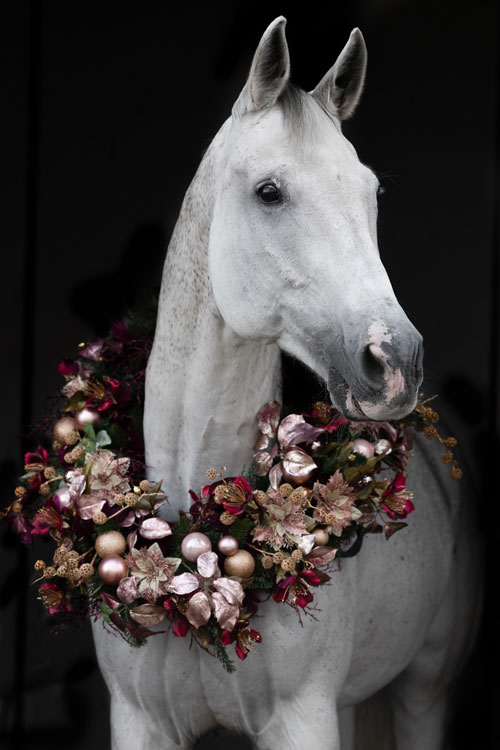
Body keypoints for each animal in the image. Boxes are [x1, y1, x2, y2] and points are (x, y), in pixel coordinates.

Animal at [93, 17, 480, 750]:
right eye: (269, 192)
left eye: (371, 193)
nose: (396, 361)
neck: (200, 551)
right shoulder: (138, 720)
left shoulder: (302, 717)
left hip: (423, 691)